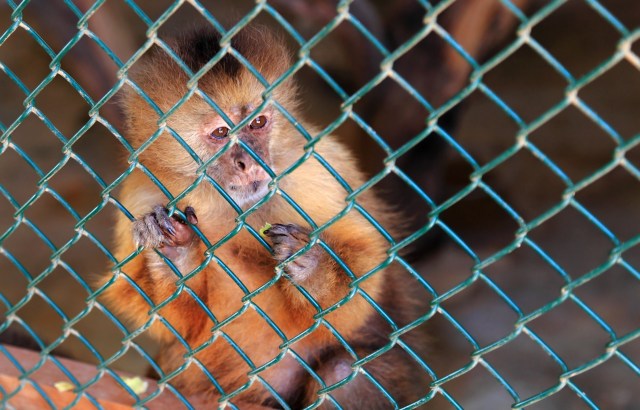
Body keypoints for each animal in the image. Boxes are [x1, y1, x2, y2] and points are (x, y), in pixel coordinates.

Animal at [100, 26, 430, 409]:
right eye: (221, 133)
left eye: (258, 123)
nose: (250, 161)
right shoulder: (142, 188)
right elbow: (174, 325)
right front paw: (175, 253)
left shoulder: (316, 168)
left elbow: (359, 290)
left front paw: (312, 267)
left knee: (345, 375)